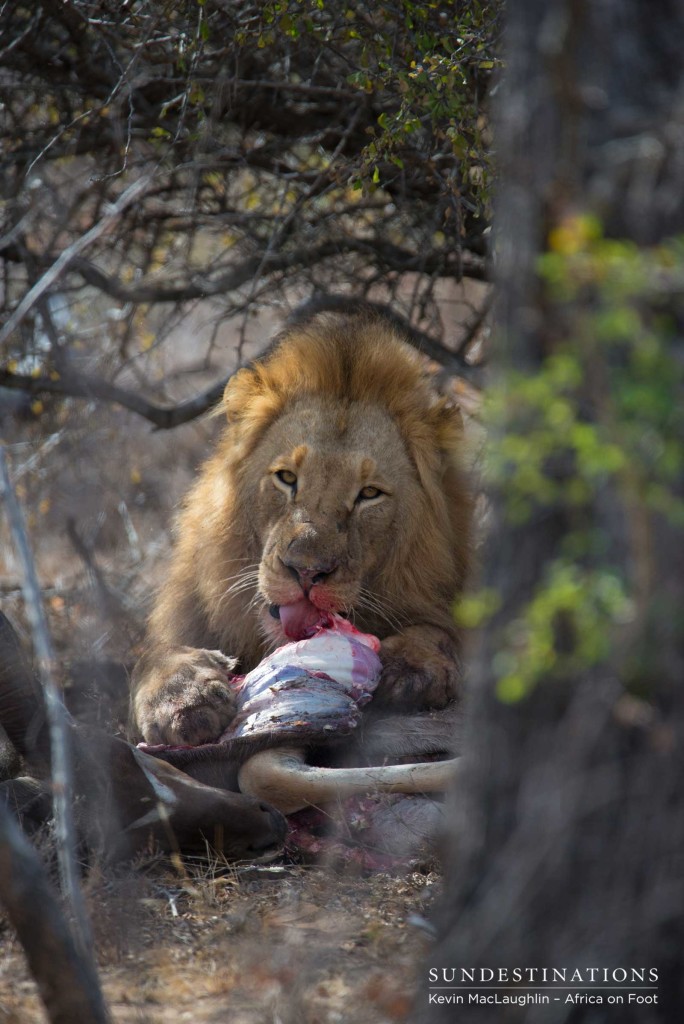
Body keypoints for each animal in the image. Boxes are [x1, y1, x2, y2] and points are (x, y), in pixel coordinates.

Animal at [131, 303, 473, 745]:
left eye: (369, 494)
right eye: (287, 478)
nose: (306, 572)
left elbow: (439, 633)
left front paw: (412, 666)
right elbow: (153, 657)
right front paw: (183, 698)